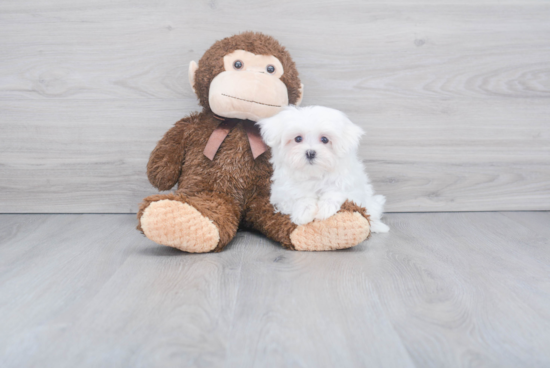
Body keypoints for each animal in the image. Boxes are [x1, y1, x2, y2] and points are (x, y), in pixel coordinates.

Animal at [258, 105, 390, 233]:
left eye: (325, 139)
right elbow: (299, 195)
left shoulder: (352, 188)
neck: (314, 174)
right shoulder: (282, 194)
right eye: (298, 139)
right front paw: (304, 211)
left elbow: (336, 192)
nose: (310, 153)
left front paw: (326, 208)